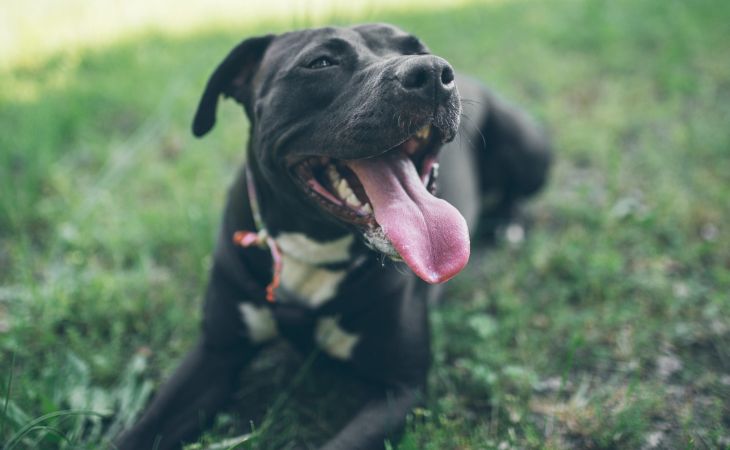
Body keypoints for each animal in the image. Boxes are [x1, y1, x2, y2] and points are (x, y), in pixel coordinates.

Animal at [115, 22, 544, 448]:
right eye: (321, 62)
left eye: (418, 49)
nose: (433, 72)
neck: (313, 246)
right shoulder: (214, 352)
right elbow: (139, 431)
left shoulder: (399, 390)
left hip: (527, 145)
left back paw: (509, 225)